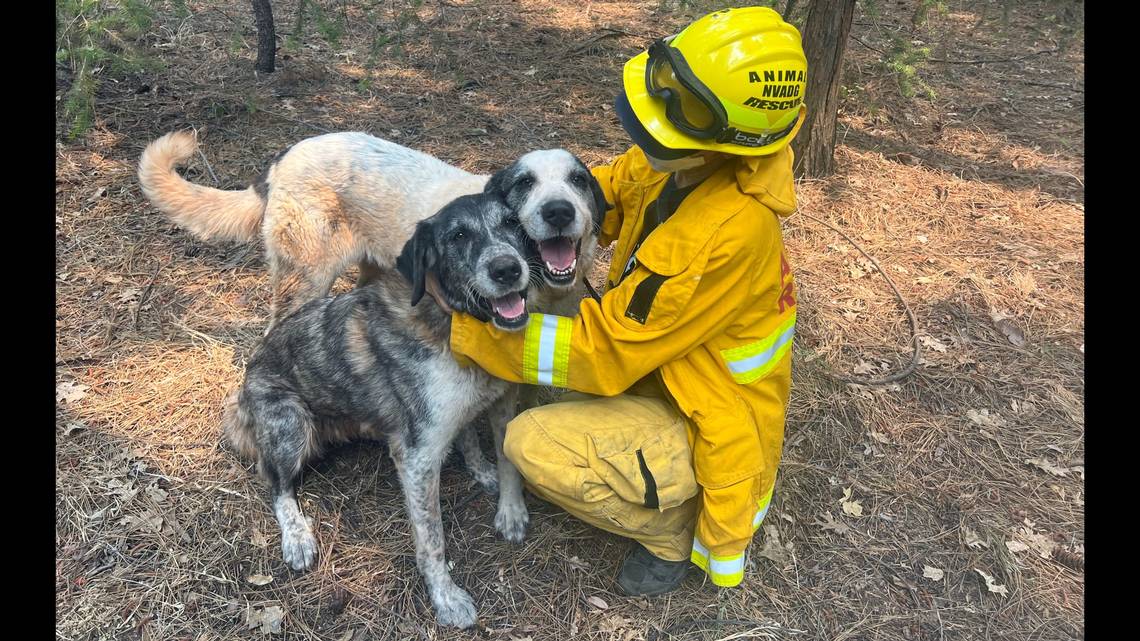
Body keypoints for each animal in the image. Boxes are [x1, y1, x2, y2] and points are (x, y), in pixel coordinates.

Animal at [223, 193, 533, 625]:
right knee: (276, 484)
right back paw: (297, 536)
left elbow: (481, 444)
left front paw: (488, 477)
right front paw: (446, 598)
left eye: (512, 223)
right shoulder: (416, 457)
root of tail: (248, 378)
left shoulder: (480, 406)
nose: (507, 269)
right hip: (291, 423)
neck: (452, 320)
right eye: (457, 236)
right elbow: (432, 539)